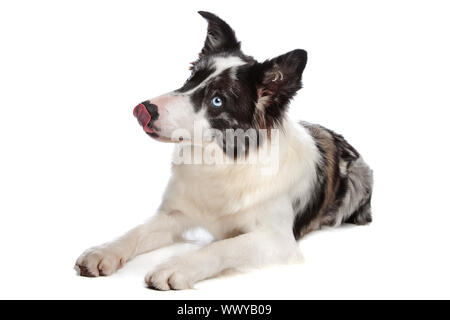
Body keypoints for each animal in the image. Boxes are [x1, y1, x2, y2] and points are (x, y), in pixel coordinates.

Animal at [75, 11, 374, 290]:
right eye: (191, 77)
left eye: (217, 100)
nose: (142, 110)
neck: (222, 163)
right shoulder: (174, 215)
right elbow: (135, 232)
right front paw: (104, 251)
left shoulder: (277, 241)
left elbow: (222, 246)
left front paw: (177, 266)